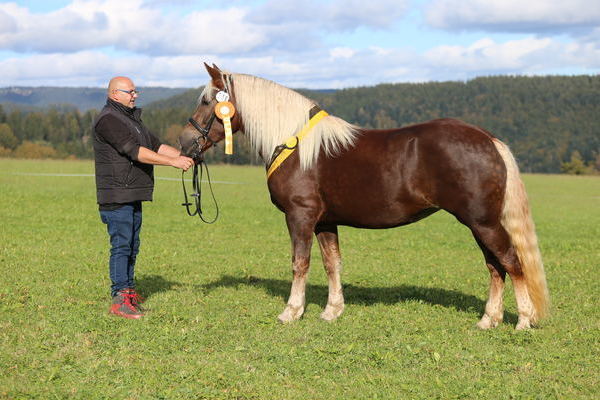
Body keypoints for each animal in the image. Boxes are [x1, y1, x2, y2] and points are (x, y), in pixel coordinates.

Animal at [179, 64, 548, 330]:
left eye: (207, 101)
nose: (185, 142)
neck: (294, 144)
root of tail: (488, 139)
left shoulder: (300, 216)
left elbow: (300, 263)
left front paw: (291, 311)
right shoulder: (325, 222)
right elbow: (332, 263)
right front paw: (331, 311)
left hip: (483, 222)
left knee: (511, 262)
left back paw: (523, 321)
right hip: (479, 223)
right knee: (495, 267)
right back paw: (489, 320)